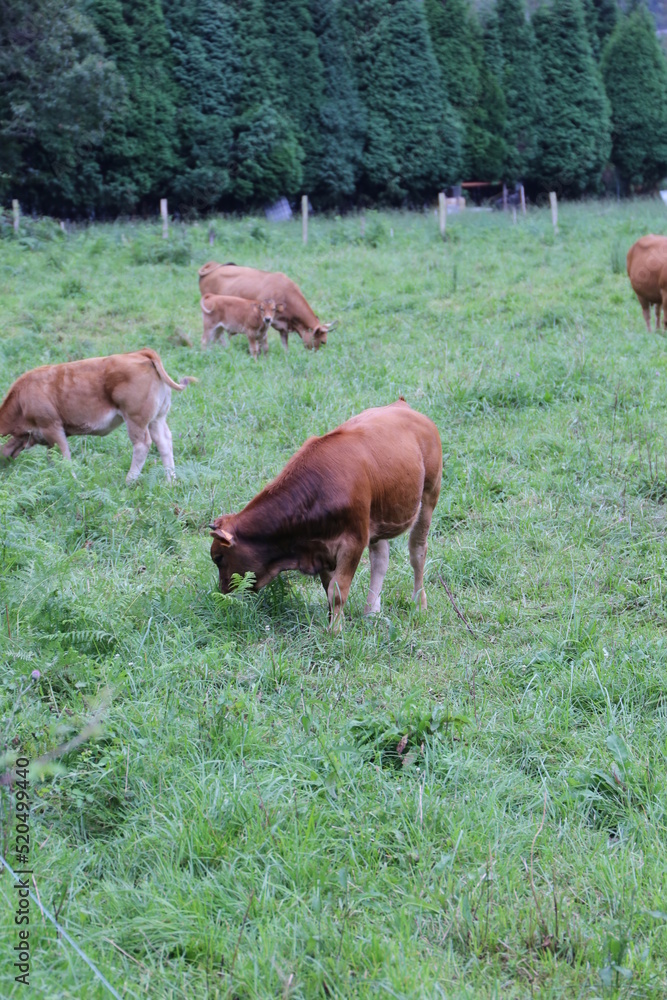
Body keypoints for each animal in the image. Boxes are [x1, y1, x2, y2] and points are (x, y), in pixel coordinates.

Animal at [0, 349, 196, 483]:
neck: (21, 400)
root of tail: (140, 353)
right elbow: (50, 457)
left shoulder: (52, 427)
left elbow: (64, 456)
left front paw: (73, 480)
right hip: (157, 418)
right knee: (164, 442)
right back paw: (170, 481)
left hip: (136, 419)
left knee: (142, 444)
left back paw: (129, 480)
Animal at [209, 400, 442, 630]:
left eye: (218, 558)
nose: (223, 591)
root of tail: (402, 405)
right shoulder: (319, 549)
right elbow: (329, 588)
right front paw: (335, 623)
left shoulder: (354, 540)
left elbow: (338, 592)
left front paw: (335, 632)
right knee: (380, 559)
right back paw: (371, 613)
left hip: (429, 494)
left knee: (417, 553)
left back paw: (419, 605)